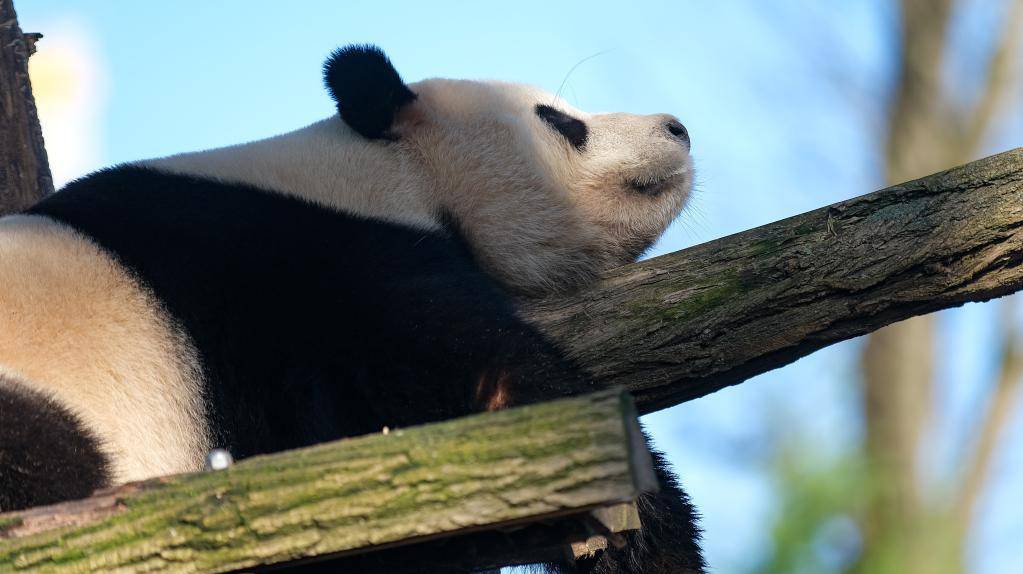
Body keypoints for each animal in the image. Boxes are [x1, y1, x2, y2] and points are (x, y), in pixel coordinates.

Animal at [0, 45, 703, 572]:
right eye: (561, 122)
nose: (678, 128)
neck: (376, 167)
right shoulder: (314, 271)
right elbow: (491, 387)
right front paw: (654, 533)